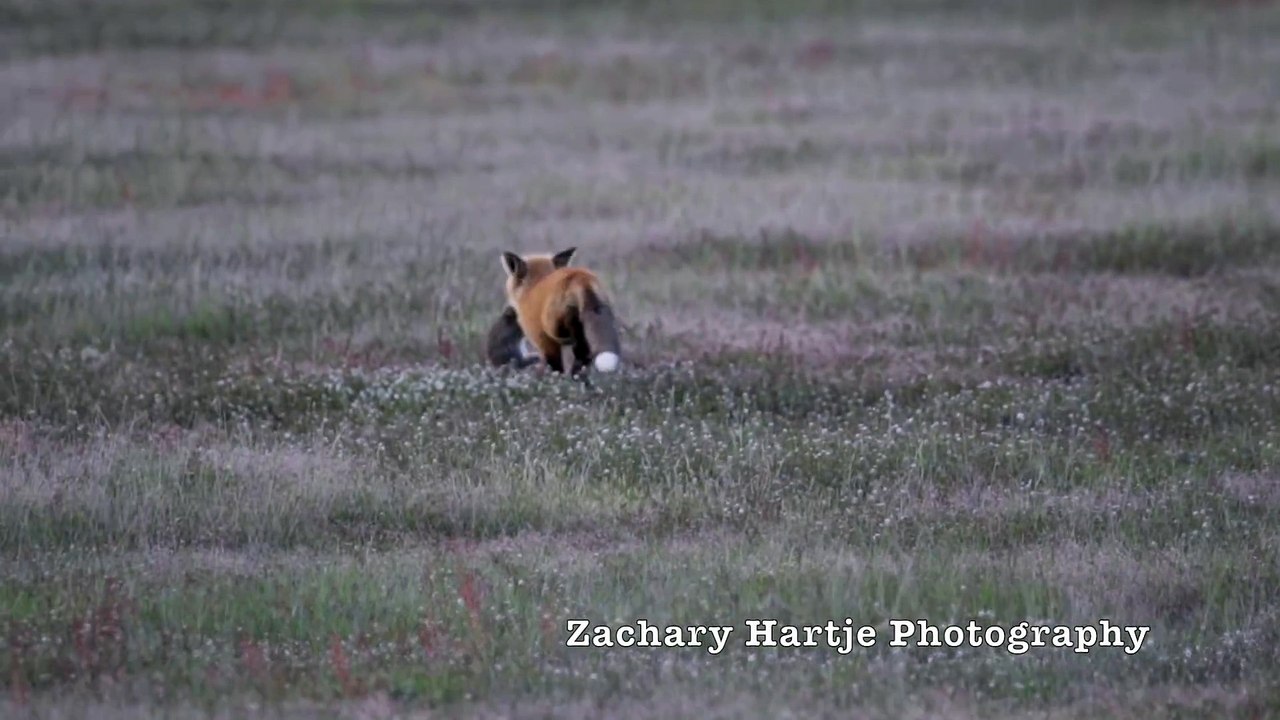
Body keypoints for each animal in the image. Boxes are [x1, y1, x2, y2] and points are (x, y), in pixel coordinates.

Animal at [499, 246, 621, 376]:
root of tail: (579, 276)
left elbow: (555, 366)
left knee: (579, 354)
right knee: (585, 357)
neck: (535, 284)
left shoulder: (544, 341)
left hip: (559, 328)